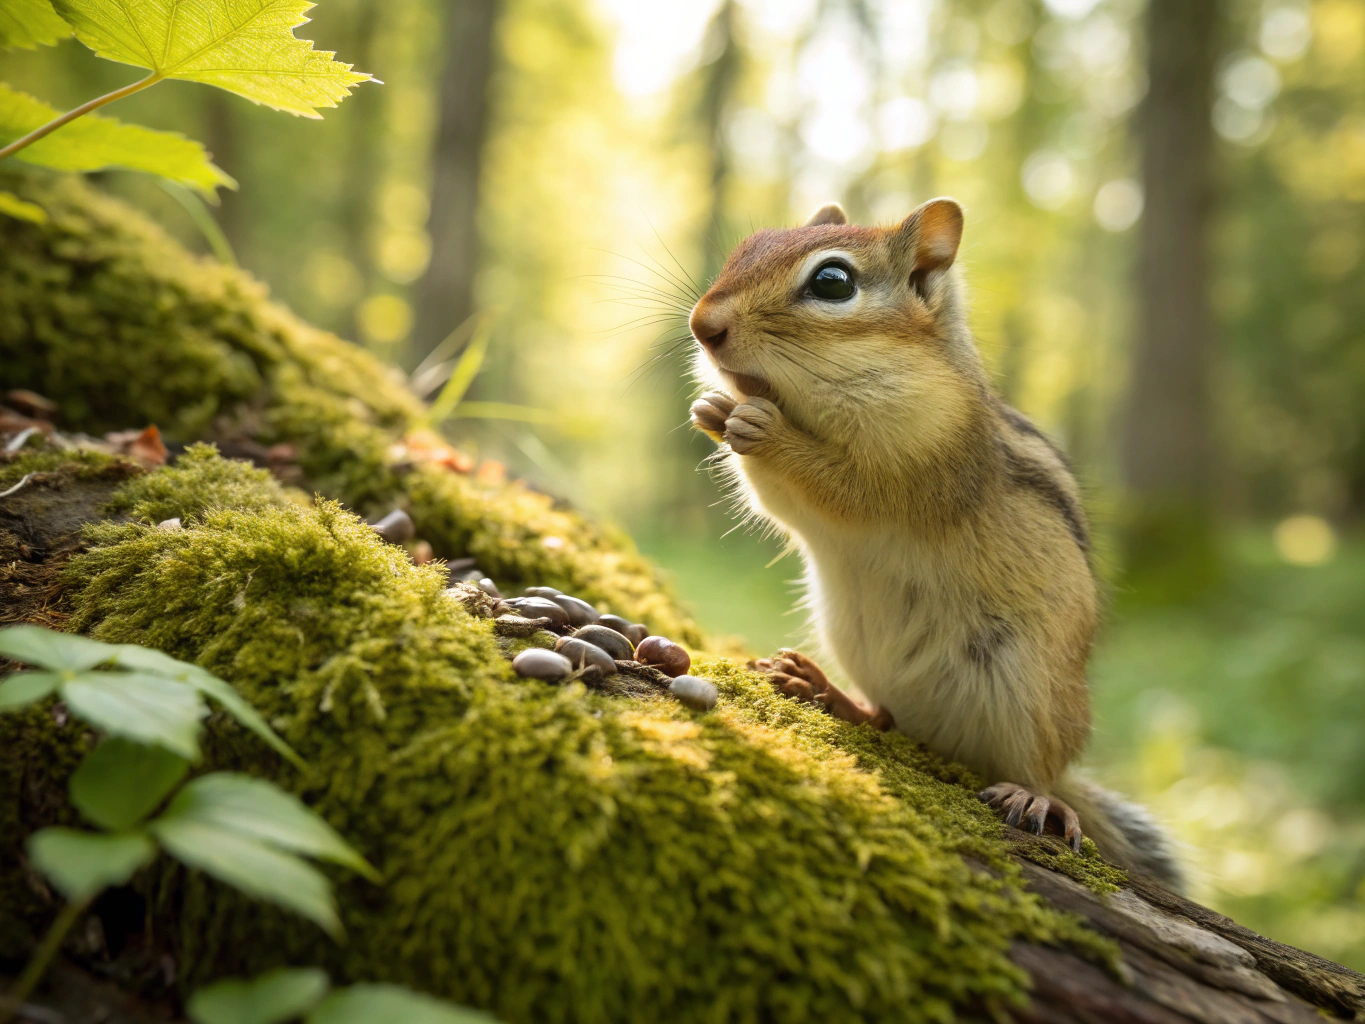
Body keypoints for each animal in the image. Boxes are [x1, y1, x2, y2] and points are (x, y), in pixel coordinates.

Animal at [687, 198, 1183, 889]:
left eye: (832, 282)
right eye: (750, 244)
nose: (701, 325)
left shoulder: (925, 457)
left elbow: (847, 489)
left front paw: (763, 428)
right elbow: (782, 503)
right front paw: (713, 407)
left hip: (1031, 692)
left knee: (1039, 770)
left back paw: (1037, 797)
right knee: (886, 718)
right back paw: (823, 690)